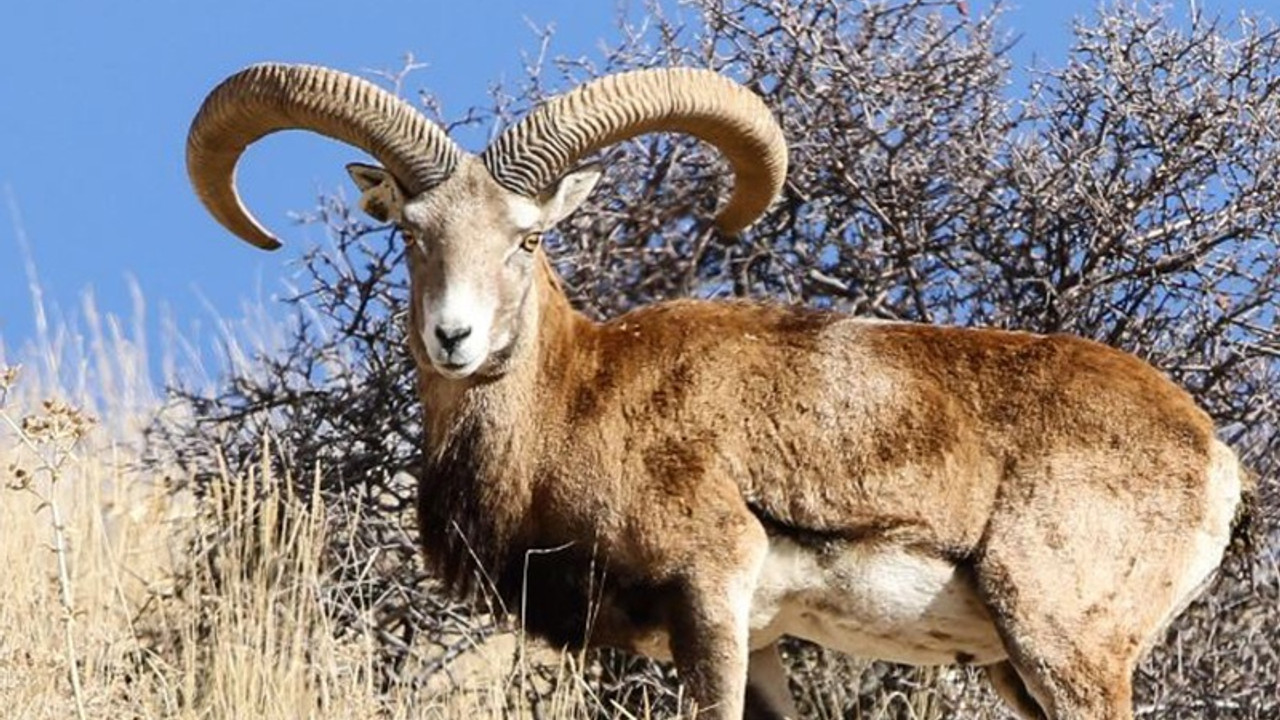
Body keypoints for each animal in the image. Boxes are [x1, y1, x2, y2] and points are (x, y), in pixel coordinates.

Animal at [189, 64, 1249, 712]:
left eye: (528, 240)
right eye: (411, 234)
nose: (455, 337)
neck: (578, 404)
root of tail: (1214, 457)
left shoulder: (710, 602)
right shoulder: (766, 641)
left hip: (1061, 648)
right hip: (1015, 670)